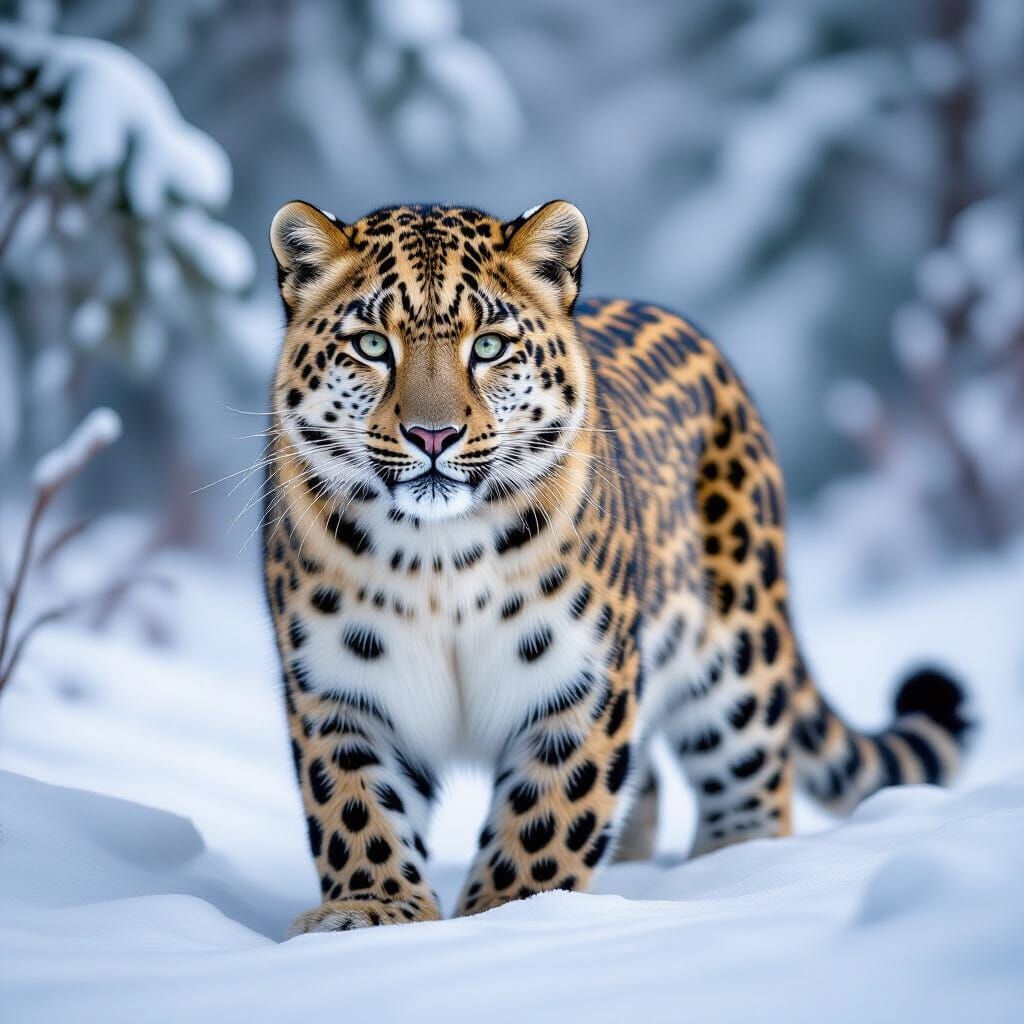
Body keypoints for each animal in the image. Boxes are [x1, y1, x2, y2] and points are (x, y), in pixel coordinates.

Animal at [262, 198, 970, 936]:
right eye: (373, 346)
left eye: (488, 347)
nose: (434, 436)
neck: (439, 559)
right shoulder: (340, 692)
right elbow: (356, 808)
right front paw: (369, 912)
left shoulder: (579, 684)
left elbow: (544, 822)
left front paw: (512, 917)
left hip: (738, 658)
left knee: (750, 781)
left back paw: (735, 877)